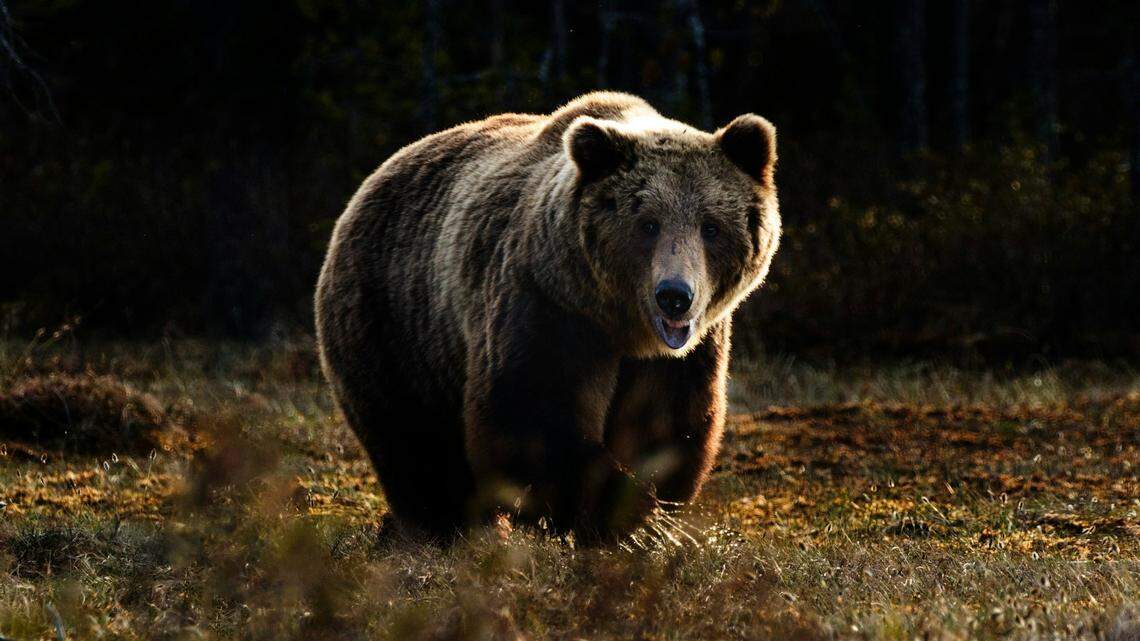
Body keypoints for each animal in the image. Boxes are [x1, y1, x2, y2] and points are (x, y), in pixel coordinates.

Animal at [315, 92, 780, 540]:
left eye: (710, 226)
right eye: (648, 224)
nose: (675, 297)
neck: (622, 325)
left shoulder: (685, 354)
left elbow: (667, 425)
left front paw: (644, 517)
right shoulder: (547, 307)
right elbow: (531, 415)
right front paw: (616, 512)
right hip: (395, 321)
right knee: (413, 441)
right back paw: (443, 528)